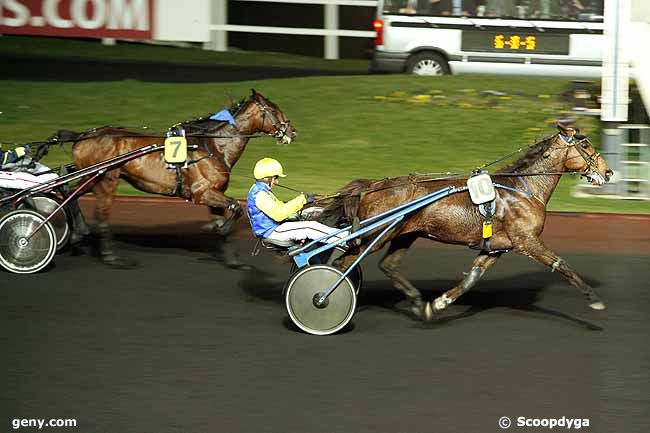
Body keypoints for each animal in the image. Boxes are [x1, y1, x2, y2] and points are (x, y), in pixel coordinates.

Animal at [52, 89, 294, 266]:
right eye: (273, 109)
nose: (292, 130)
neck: (214, 146)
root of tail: (84, 135)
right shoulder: (201, 193)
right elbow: (236, 207)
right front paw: (218, 229)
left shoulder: (214, 193)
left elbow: (227, 215)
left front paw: (231, 258)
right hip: (104, 180)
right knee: (100, 215)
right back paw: (110, 256)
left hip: (90, 178)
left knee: (68, 192)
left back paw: (78, 235)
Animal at [324, 123, 612, 318]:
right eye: (585, 145)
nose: (608, 172)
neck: (524, 188)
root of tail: (374, 185)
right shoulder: (527, 241)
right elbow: (562, 265)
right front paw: (594, 298)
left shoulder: (495, 248)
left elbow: (471, 278)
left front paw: (437, 304)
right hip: (377, 235)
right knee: (342, 263)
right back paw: (325, 297)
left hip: (404, 234)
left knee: (388, 265)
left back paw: (416, 300)